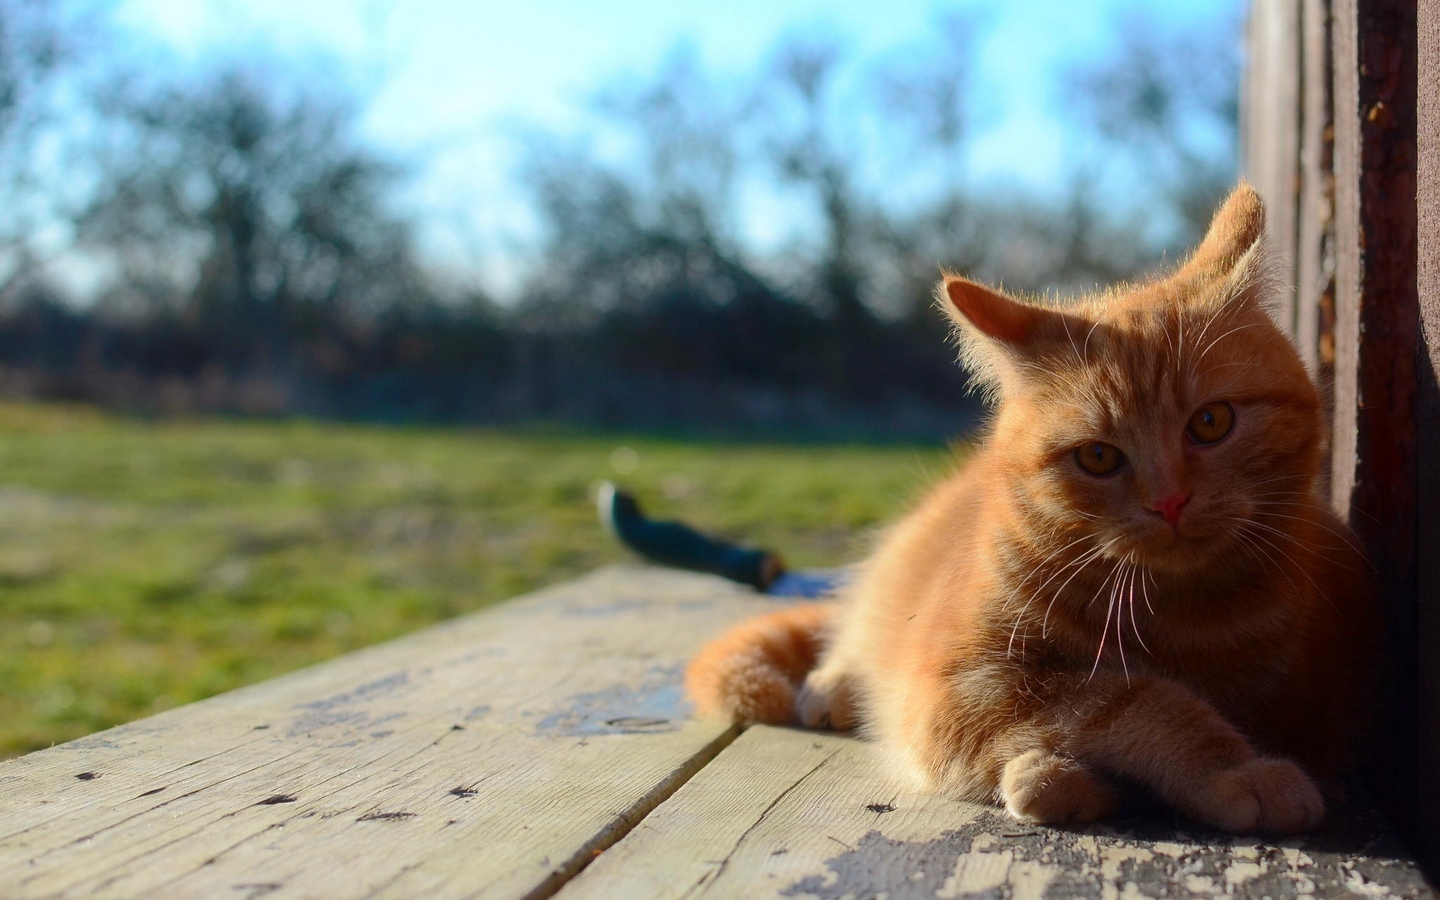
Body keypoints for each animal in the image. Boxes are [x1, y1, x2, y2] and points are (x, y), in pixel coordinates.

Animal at [691, 184, 1376, 835]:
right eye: (1098, 457)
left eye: (1211, 423)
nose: (1169, 502)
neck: (1177, 618)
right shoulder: (961, 686)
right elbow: (1129, 698)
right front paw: (1233, 771)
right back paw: (833, 685)